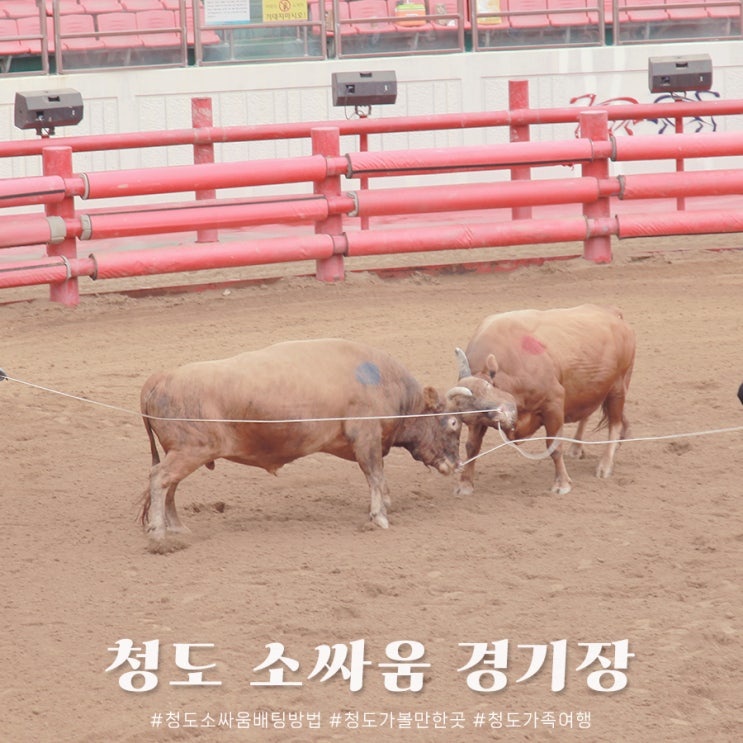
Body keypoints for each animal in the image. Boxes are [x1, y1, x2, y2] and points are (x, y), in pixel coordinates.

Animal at [141, 338, 494, 540]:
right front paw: (378, 515)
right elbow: (375, 476)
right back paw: (159, 532)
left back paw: (176, 527)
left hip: (184, 451)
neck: (383, 382)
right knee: (160, 478)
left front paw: (384, 505)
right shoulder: (365, 437)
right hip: (190, 450)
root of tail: (159, 379)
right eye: (452, 423)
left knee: (169, 486)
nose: (455, 463)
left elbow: (379, 480)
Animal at [444, 306, 636, 496]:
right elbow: (472, 446)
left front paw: (562, 483)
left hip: (618, 388)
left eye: (488, 391)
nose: (505, 416)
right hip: (592, 388)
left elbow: (554, 447)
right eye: (469, 414)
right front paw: (465, 484)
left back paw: (605, 464)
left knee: (615, 424)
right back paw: (577, 448)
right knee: (589, 413)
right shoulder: (478, 422)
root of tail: (613, 313)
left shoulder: (554, 404)